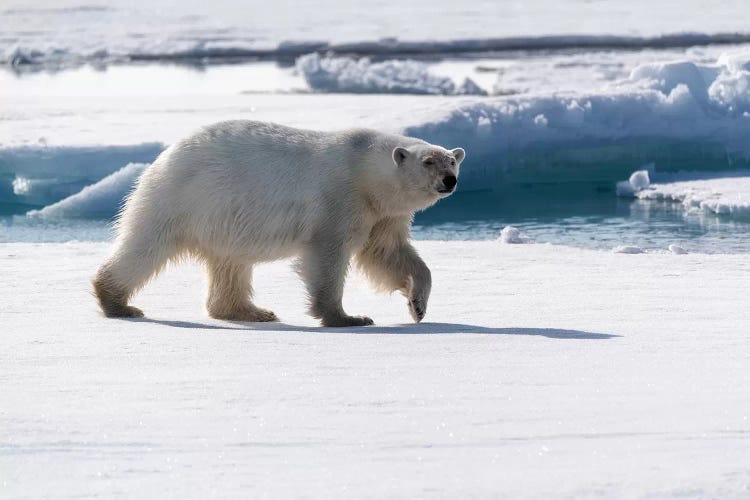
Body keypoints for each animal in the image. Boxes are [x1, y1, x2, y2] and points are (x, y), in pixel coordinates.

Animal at [95, 119, 464, 326]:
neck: (366, 171)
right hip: (182, 199)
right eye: (428, 161)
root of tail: (165, 156)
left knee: (230, 265)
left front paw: (418, 306)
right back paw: (117, 301)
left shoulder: (382, 214)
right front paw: (348, 318)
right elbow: (328, 255)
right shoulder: (339, 197)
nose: (449, 181)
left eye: (452, 161)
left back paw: (251, 311)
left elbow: (388, 253)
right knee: (145, 247)